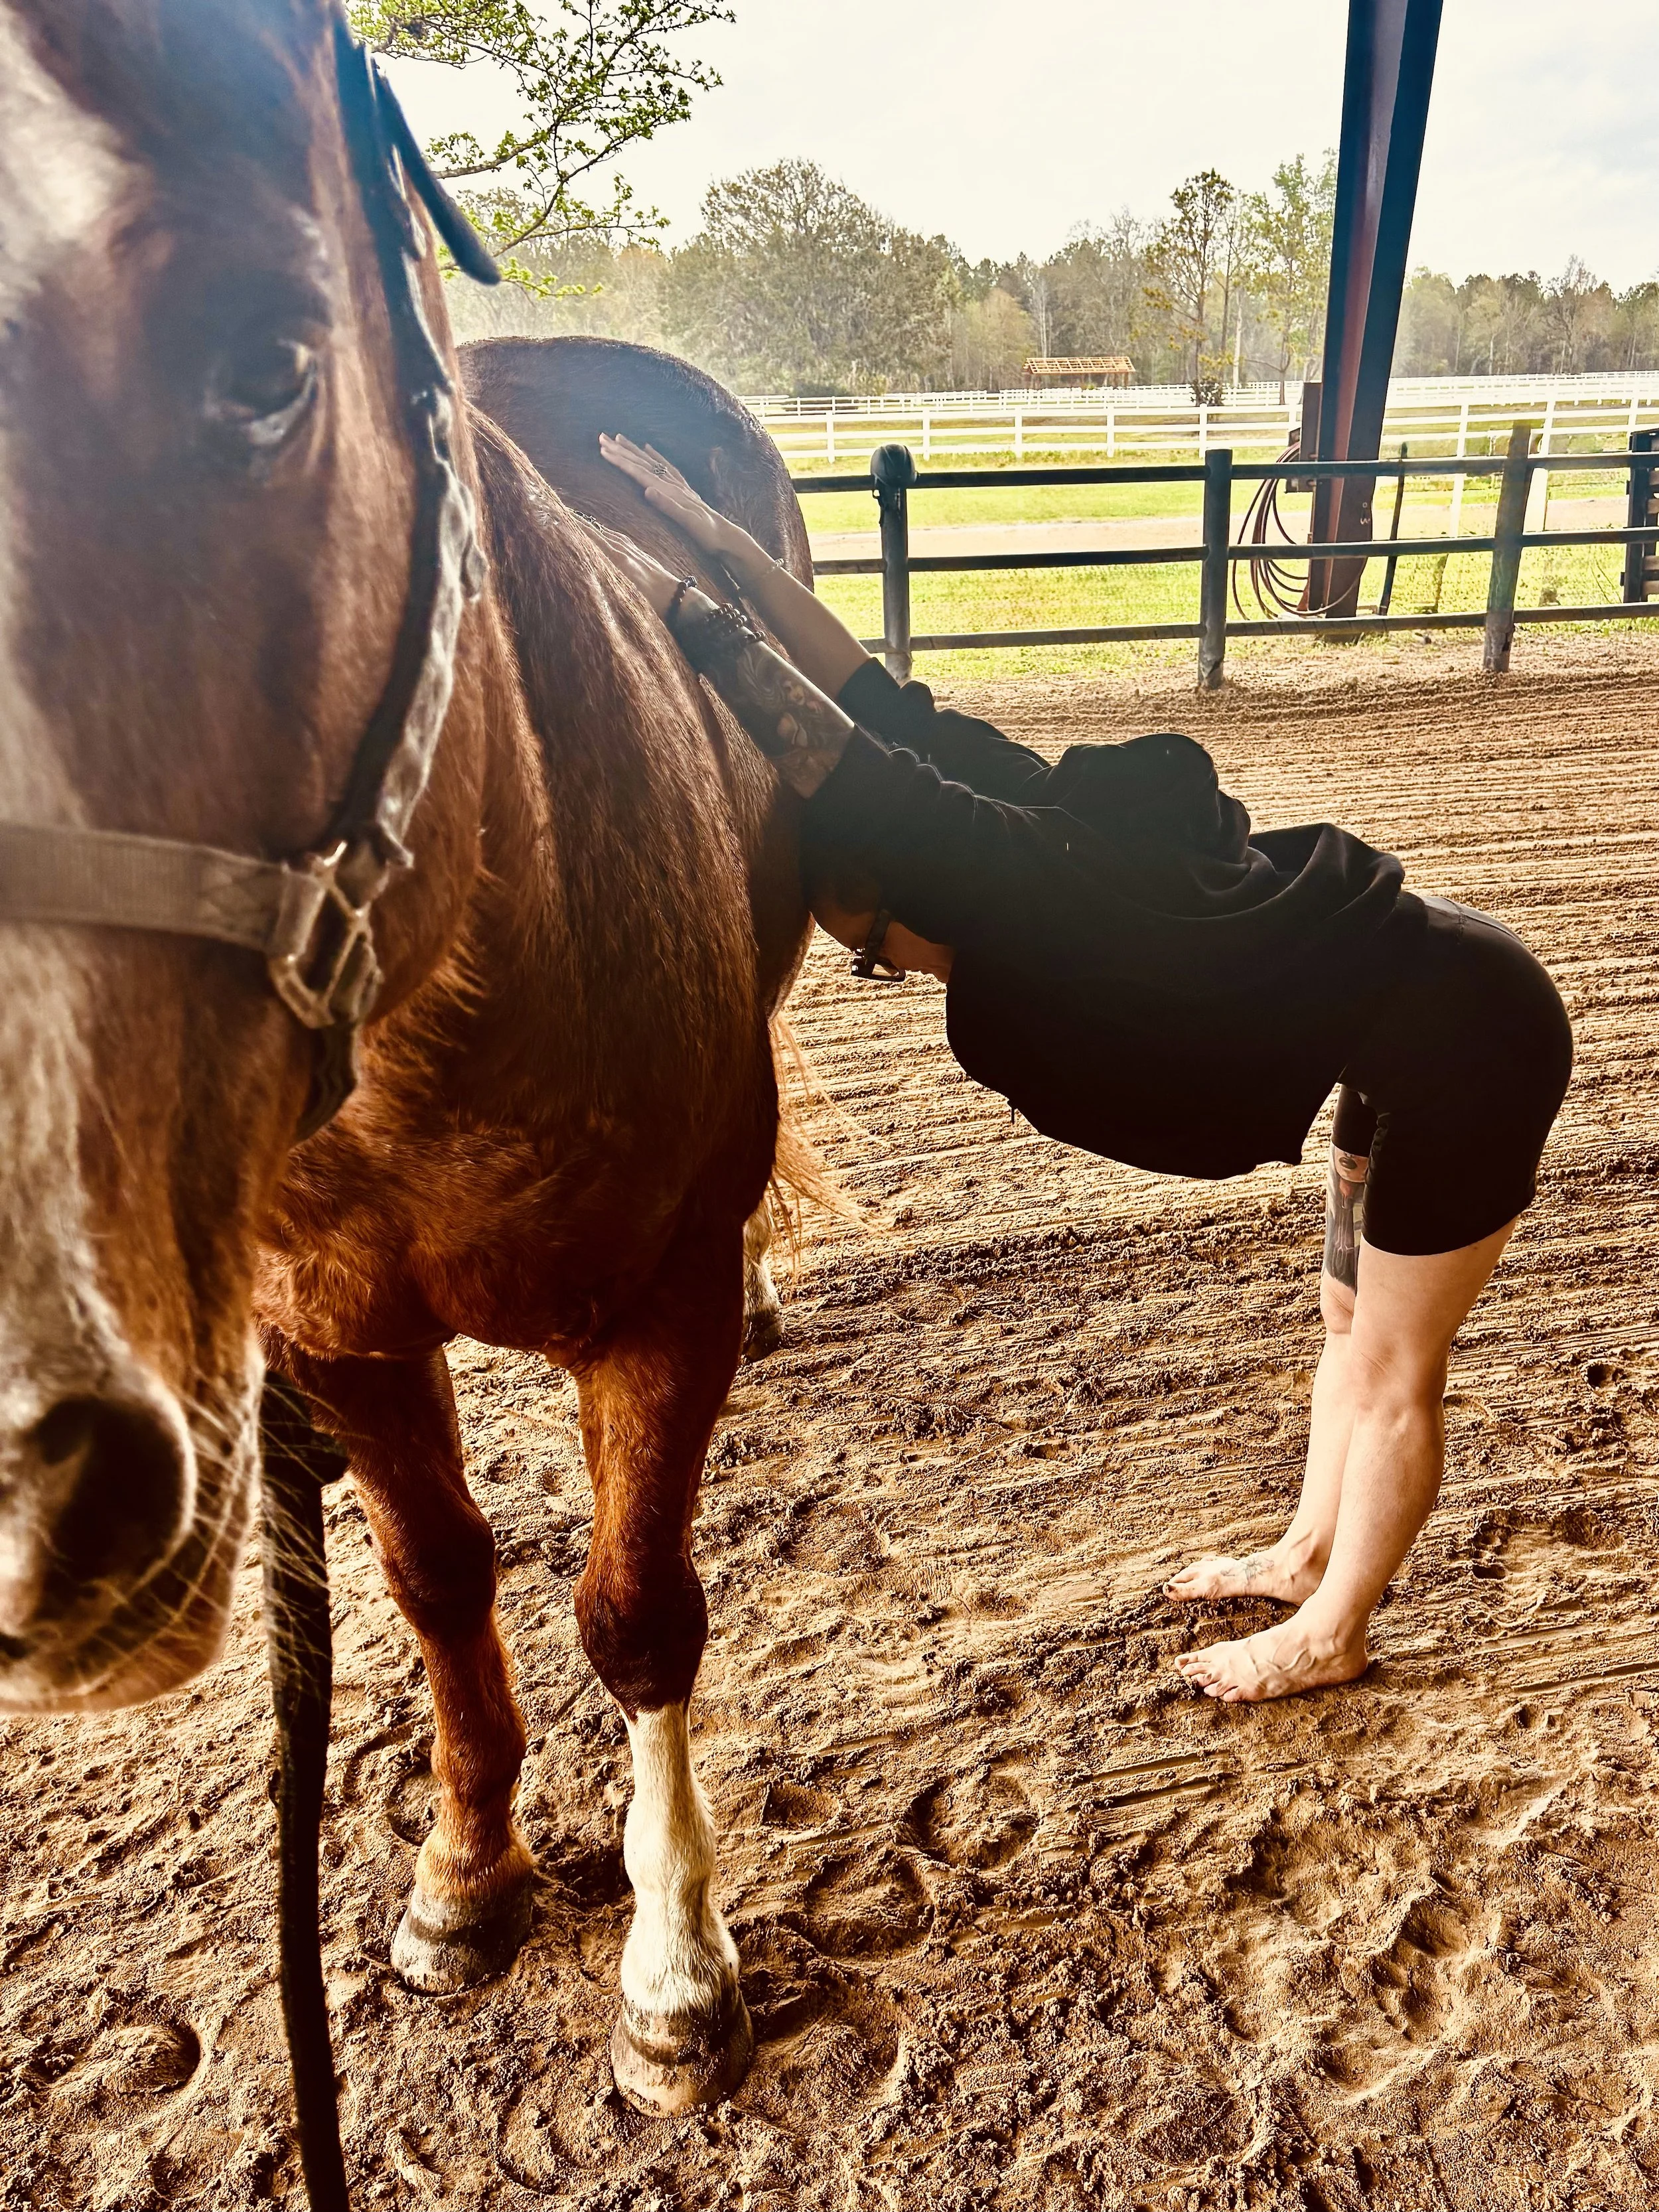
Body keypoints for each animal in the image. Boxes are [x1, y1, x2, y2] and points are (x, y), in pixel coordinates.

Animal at [0, 0, 813, 2121]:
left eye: (268, 367)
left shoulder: (657, 1310)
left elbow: (636, 1609)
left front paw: (673, 1971)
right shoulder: (344, 1327)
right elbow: (441, 1577)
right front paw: (466, 1866)